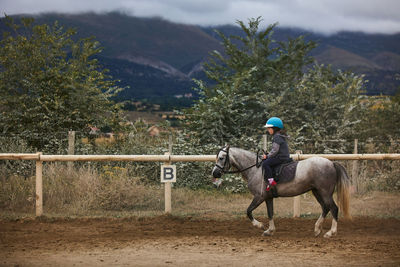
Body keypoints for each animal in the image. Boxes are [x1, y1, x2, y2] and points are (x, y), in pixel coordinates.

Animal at [212, 147, 350, 239]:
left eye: (221, 158)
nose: (215, 173)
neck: (255, 169)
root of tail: (331, 163)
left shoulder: (259, 197)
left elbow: (248, 211)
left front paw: (260, 225)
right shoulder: (268, 198)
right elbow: (270, 213)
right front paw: (270, 231)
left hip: (325, 193)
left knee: (334, 208)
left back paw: (330, 232)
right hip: (317, 192)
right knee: (325, 208)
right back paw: (317, 229)